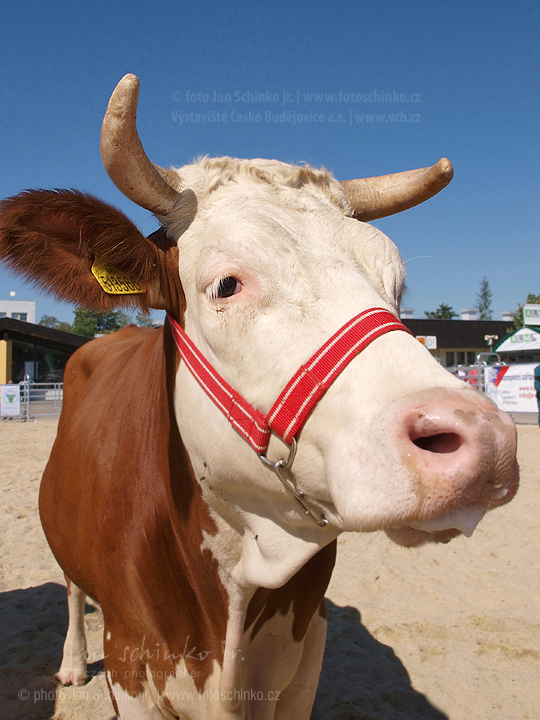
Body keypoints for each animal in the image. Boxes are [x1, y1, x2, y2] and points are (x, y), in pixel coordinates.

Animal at [0, 74, 516, 720]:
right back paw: (70, 662)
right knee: (71, 587)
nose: (484, 438)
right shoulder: (130, 664)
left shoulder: (303, 664)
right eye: (227, 284)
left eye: (397, 287)